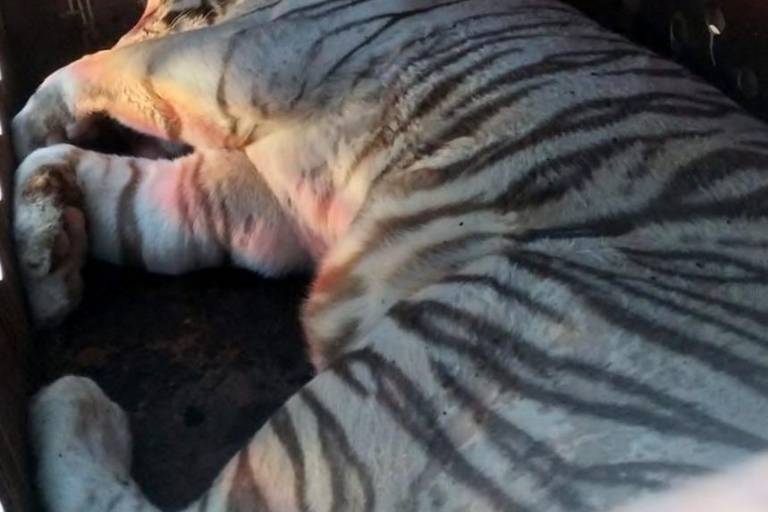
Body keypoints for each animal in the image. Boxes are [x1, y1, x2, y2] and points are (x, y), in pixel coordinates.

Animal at [10, 0, 768, 511]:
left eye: (155, 13)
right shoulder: (262, 198)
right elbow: (138, 202)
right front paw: (49, 234)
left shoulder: (240, 58)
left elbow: (105, 70)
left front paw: (21, 133)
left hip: (433, 375)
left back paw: (72, 406)